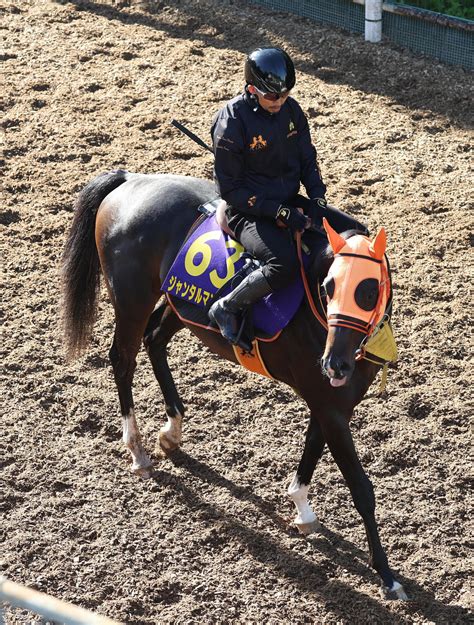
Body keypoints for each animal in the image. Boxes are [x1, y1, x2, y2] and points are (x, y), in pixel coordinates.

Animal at [59, 171, 408, 600]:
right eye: (328, 287)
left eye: (369, 290)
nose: (335, 363)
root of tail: (132, 179)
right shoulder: (330, 408)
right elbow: (361, 488)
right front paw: (388, 576)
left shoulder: (329, 404)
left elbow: (312, 449)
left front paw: (302, 509)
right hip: (131, 302)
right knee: (122, 359)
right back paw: (137, 449)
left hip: (179, 304)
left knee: (155, 339)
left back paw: (172, 429)